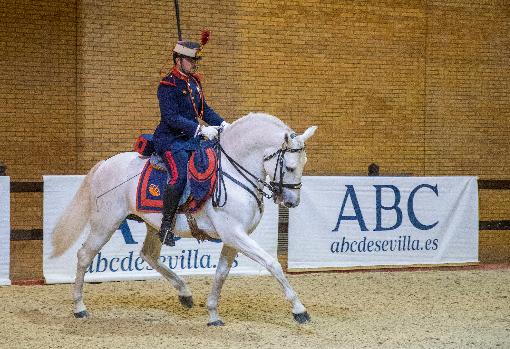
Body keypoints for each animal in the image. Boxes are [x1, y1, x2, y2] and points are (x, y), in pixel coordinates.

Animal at [50, 113, 314, 324]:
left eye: (304, 163)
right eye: (290, 167)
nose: (292, 201)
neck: (233, 171)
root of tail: (105, 164)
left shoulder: (234, 238)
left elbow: (221, 273)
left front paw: (213, 314)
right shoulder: (234, 234)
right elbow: (273, 264)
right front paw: (299, 310)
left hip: (153, 225)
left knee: (148, 255)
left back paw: (184, 293)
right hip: (105, 223)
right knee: (84, 255)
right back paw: (79, 307)